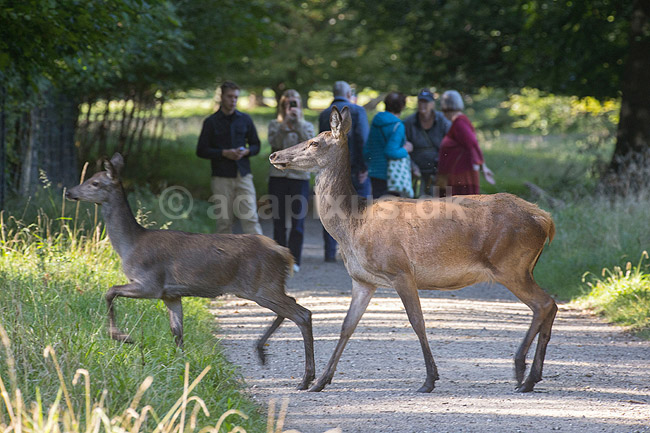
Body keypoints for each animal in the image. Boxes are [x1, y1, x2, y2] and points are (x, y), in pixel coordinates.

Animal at [66, 153, 315, 390]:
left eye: (95, 183)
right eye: (89, 178)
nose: (69, 191)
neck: (130, 245)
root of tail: (284, 253)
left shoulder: (150, 283)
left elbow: (110, 291)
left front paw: (123, 337)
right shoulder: (170, 294)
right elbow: (177, 332)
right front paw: (182, 367)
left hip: (261, 286)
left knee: (302, 313)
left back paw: (306, 379)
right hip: (268, 286)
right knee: (292, 305)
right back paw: (263, 351)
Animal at [269, 106, 557, 393]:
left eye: (314, 142)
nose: (274, 155)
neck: (352, 226)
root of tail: (545, 219)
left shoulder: (400, 270)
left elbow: (417, 321)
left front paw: (429, 379)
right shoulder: (363, 280)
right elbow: (347, 326)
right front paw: (320, 381)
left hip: (510, 265)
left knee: (543, 304)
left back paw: (522, 372)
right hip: (521, 267)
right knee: (550, 305)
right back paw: (532, 376)